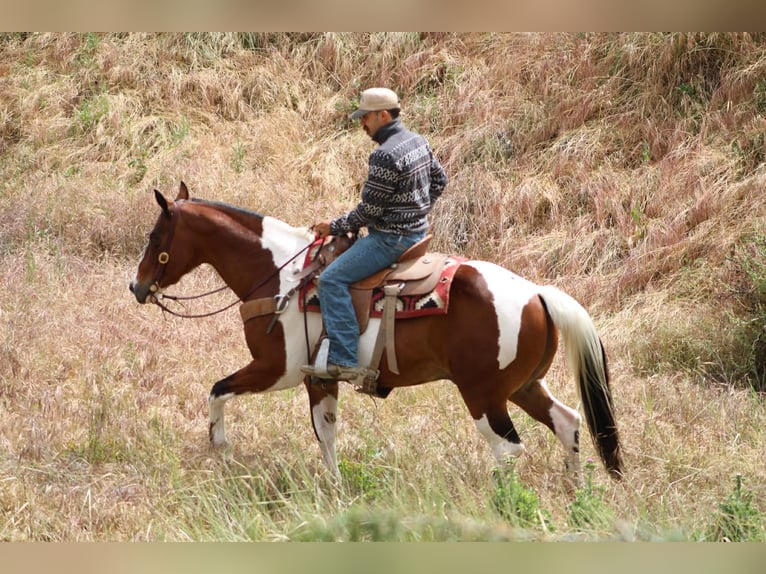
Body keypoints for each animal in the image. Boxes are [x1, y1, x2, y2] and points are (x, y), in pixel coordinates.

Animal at [129, 182, 623, 481]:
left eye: (155, 238)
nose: (137, 286)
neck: (280, 275)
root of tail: (537, 293)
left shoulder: (276, 369)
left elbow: (217, 390)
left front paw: (220, 446)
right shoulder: (318, 378)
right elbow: (326, 433)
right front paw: (333, 486)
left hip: (483, 394)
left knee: (508, 449)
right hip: (522, 386)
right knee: (568, 422)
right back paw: (575, 493)